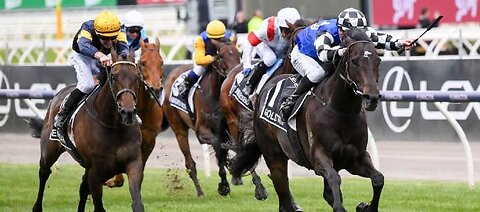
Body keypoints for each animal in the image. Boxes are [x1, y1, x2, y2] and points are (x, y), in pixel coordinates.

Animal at [27, 50, 143, 211]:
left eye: (137, 77)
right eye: (113, 77)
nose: (128, 112)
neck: (113, 126)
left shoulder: (133, 163)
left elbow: (137, 203)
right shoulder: (95, 172)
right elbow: (99, 206)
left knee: (82, 188)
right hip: (49, 151)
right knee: (44, 172)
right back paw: (37, 207)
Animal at [104, 38, 168, 187]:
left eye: (161, 62)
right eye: (143, 63)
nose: (156, 89)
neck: (144, 109)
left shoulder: (149, 140)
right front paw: (112, 179)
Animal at [164, 40, 242, 197]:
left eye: (239, 54)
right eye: (221, 56)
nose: (234, 74)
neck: (216, 93)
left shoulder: (229, 127)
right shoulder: (202, 132)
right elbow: (219, 148)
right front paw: (224, 186)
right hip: (178, 129)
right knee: (190, 163)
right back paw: (200, 191)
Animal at [231, 28, 384, 212]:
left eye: (378, 61)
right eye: (354, 61)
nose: (372, 97)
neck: (341, 111)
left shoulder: (356, 158)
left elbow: (378, 178)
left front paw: (366, 206)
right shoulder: (319, 156)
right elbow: (334, 178)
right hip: (274, 157)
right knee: (284, 195)